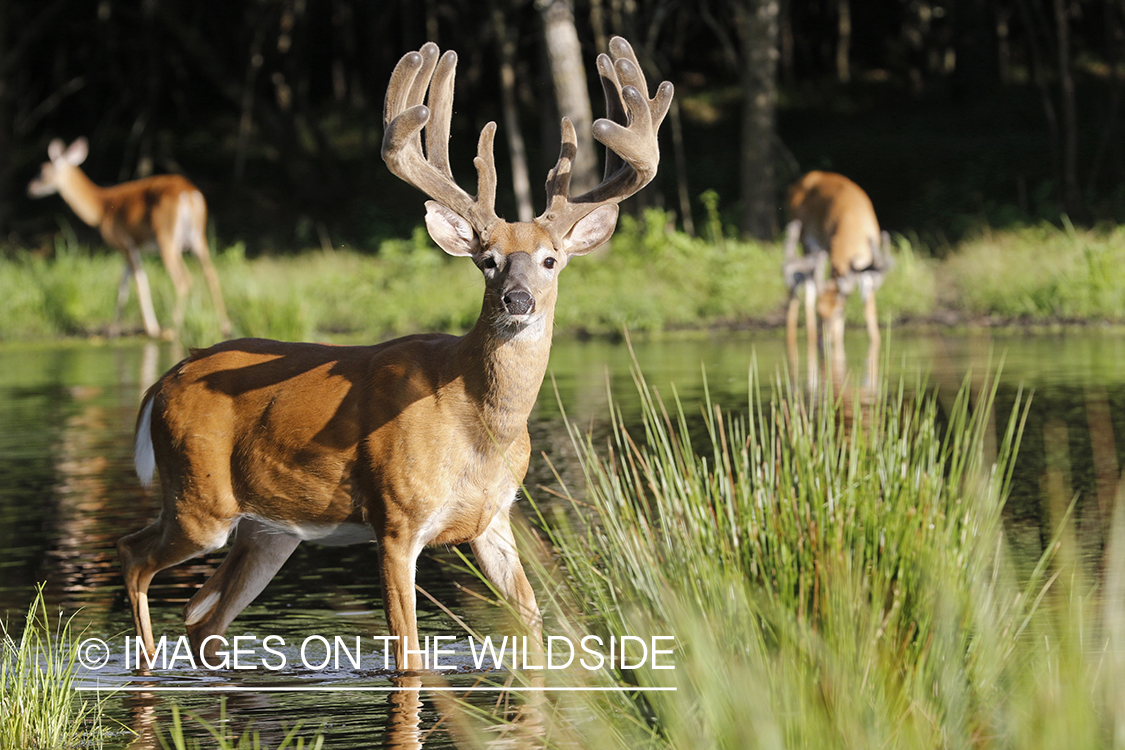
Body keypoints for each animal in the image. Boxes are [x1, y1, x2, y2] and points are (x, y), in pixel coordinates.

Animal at [27, 137, 228, 339]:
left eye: (43, 171)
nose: (30, 188)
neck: (101, 208)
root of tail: (189, 194)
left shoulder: (124, 242)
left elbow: (138, 282)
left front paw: (151, 329)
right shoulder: (133, 247)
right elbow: (123, 286)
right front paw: (113, 330)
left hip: (166, 238)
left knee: (183, 279)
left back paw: (172, 329)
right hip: (198, 239)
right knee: (211, 274)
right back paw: (225, 326)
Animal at [118, 39, 670, 674]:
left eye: (551, 259)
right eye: (487, 260)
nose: (518, 299)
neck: (477, 423)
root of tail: (162, 382)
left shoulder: (495, 519)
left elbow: (532, 626)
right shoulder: (396, 519)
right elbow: (408, 655)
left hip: (268, 532)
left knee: (203, 619)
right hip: (199, 499)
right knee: (134, 555)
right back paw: (144, 664)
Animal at [783, 170, 895, 386]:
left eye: (839, 311)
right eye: (821, 314)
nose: (824, 343)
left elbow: (869, 311)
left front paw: (875, 341)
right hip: (803, 236)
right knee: (803, 293)